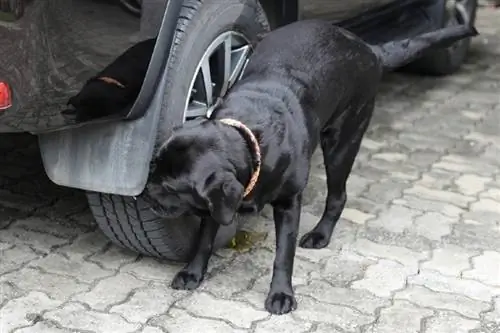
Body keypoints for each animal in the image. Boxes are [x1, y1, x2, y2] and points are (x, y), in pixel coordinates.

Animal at [146, 21, 476, 314]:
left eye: (170, 187)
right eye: (154, 166)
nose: (145, 193)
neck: (250, 141)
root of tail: (369, 49)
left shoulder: (289, 203)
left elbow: (284, 254)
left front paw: (281, 294)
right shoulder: (216, 206)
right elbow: (204, 239)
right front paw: (192, 273)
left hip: (342, 144)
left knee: (338, 196)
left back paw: (321, 234)